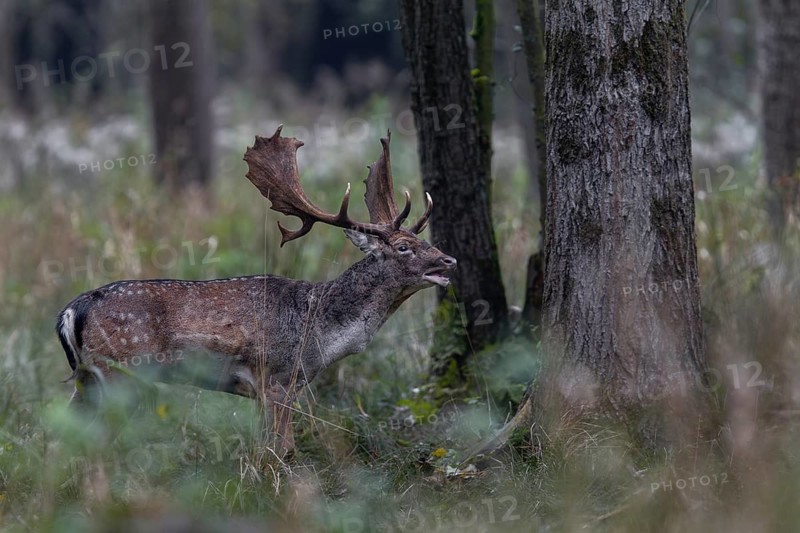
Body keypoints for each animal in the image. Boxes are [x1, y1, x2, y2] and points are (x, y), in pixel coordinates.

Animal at [55, 126, 457, 457]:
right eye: (403, 247)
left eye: (423, 241)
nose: (448, 260)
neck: (321, 332)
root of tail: (72, 310)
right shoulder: (275, 377)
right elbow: (282, 448)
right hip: (121, 372)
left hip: (89, 380)